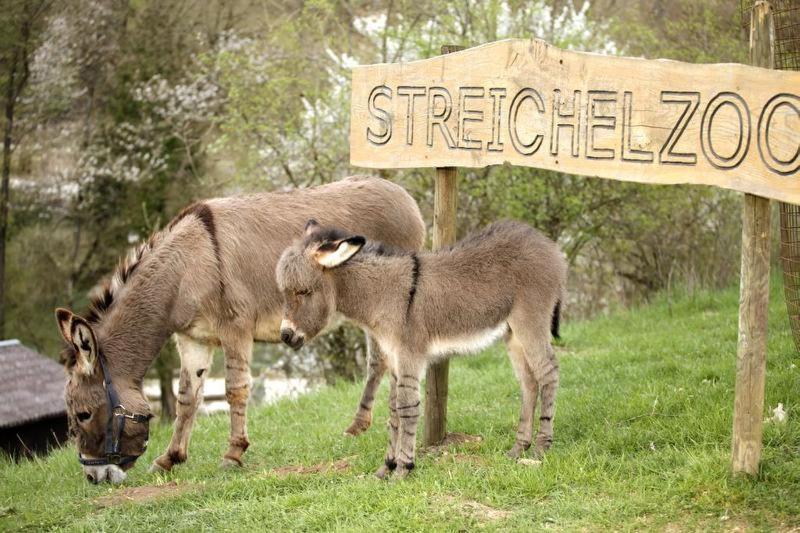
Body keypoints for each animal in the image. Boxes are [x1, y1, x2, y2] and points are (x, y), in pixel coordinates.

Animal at [278, 218, 564, 476]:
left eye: (304, 292)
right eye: (285, 292)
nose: (286, 336)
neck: (383, 294)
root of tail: (547, 243)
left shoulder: (409, 355)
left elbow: (407, 407)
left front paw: (404, 468)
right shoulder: (393, 357)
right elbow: (393, 410)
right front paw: (386, 467)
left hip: (530, 321)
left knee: (547, 373)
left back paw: (541, 446)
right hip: (512, 333)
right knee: (529, 381)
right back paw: (519, 447)